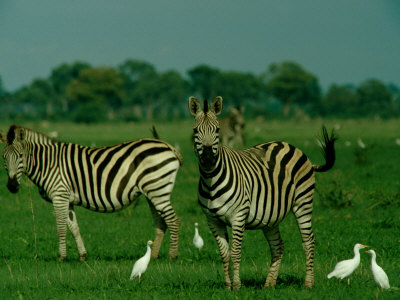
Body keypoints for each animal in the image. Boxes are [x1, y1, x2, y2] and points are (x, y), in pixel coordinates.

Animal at [0, 125, 181, 262]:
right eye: (3, 157)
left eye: (21, 156)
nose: (12, 186)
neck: (48, 163)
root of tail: (169, 146)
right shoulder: (67, 199)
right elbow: (74, 227)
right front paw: (82, 256)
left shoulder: (59, 196)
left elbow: (61, 228)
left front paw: (61, 257)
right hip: (153, 191)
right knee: (161, 222)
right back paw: (154, 256)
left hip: (157, 189)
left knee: (173, 220)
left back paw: (172, 256)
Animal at [189, 96, 336, 290]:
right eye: (195, 130)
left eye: (218, 130)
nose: (207, 158)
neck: (211, 179)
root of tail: (291, 146)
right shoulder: (213, 221)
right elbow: (224, 254)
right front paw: (228, 286)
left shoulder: (238, 216)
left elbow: (235, 253)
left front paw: (237, 286)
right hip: (270, 216)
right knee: (278, 246)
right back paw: (269, 284)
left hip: (303, 202)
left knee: (308, 241)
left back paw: (308, 283)